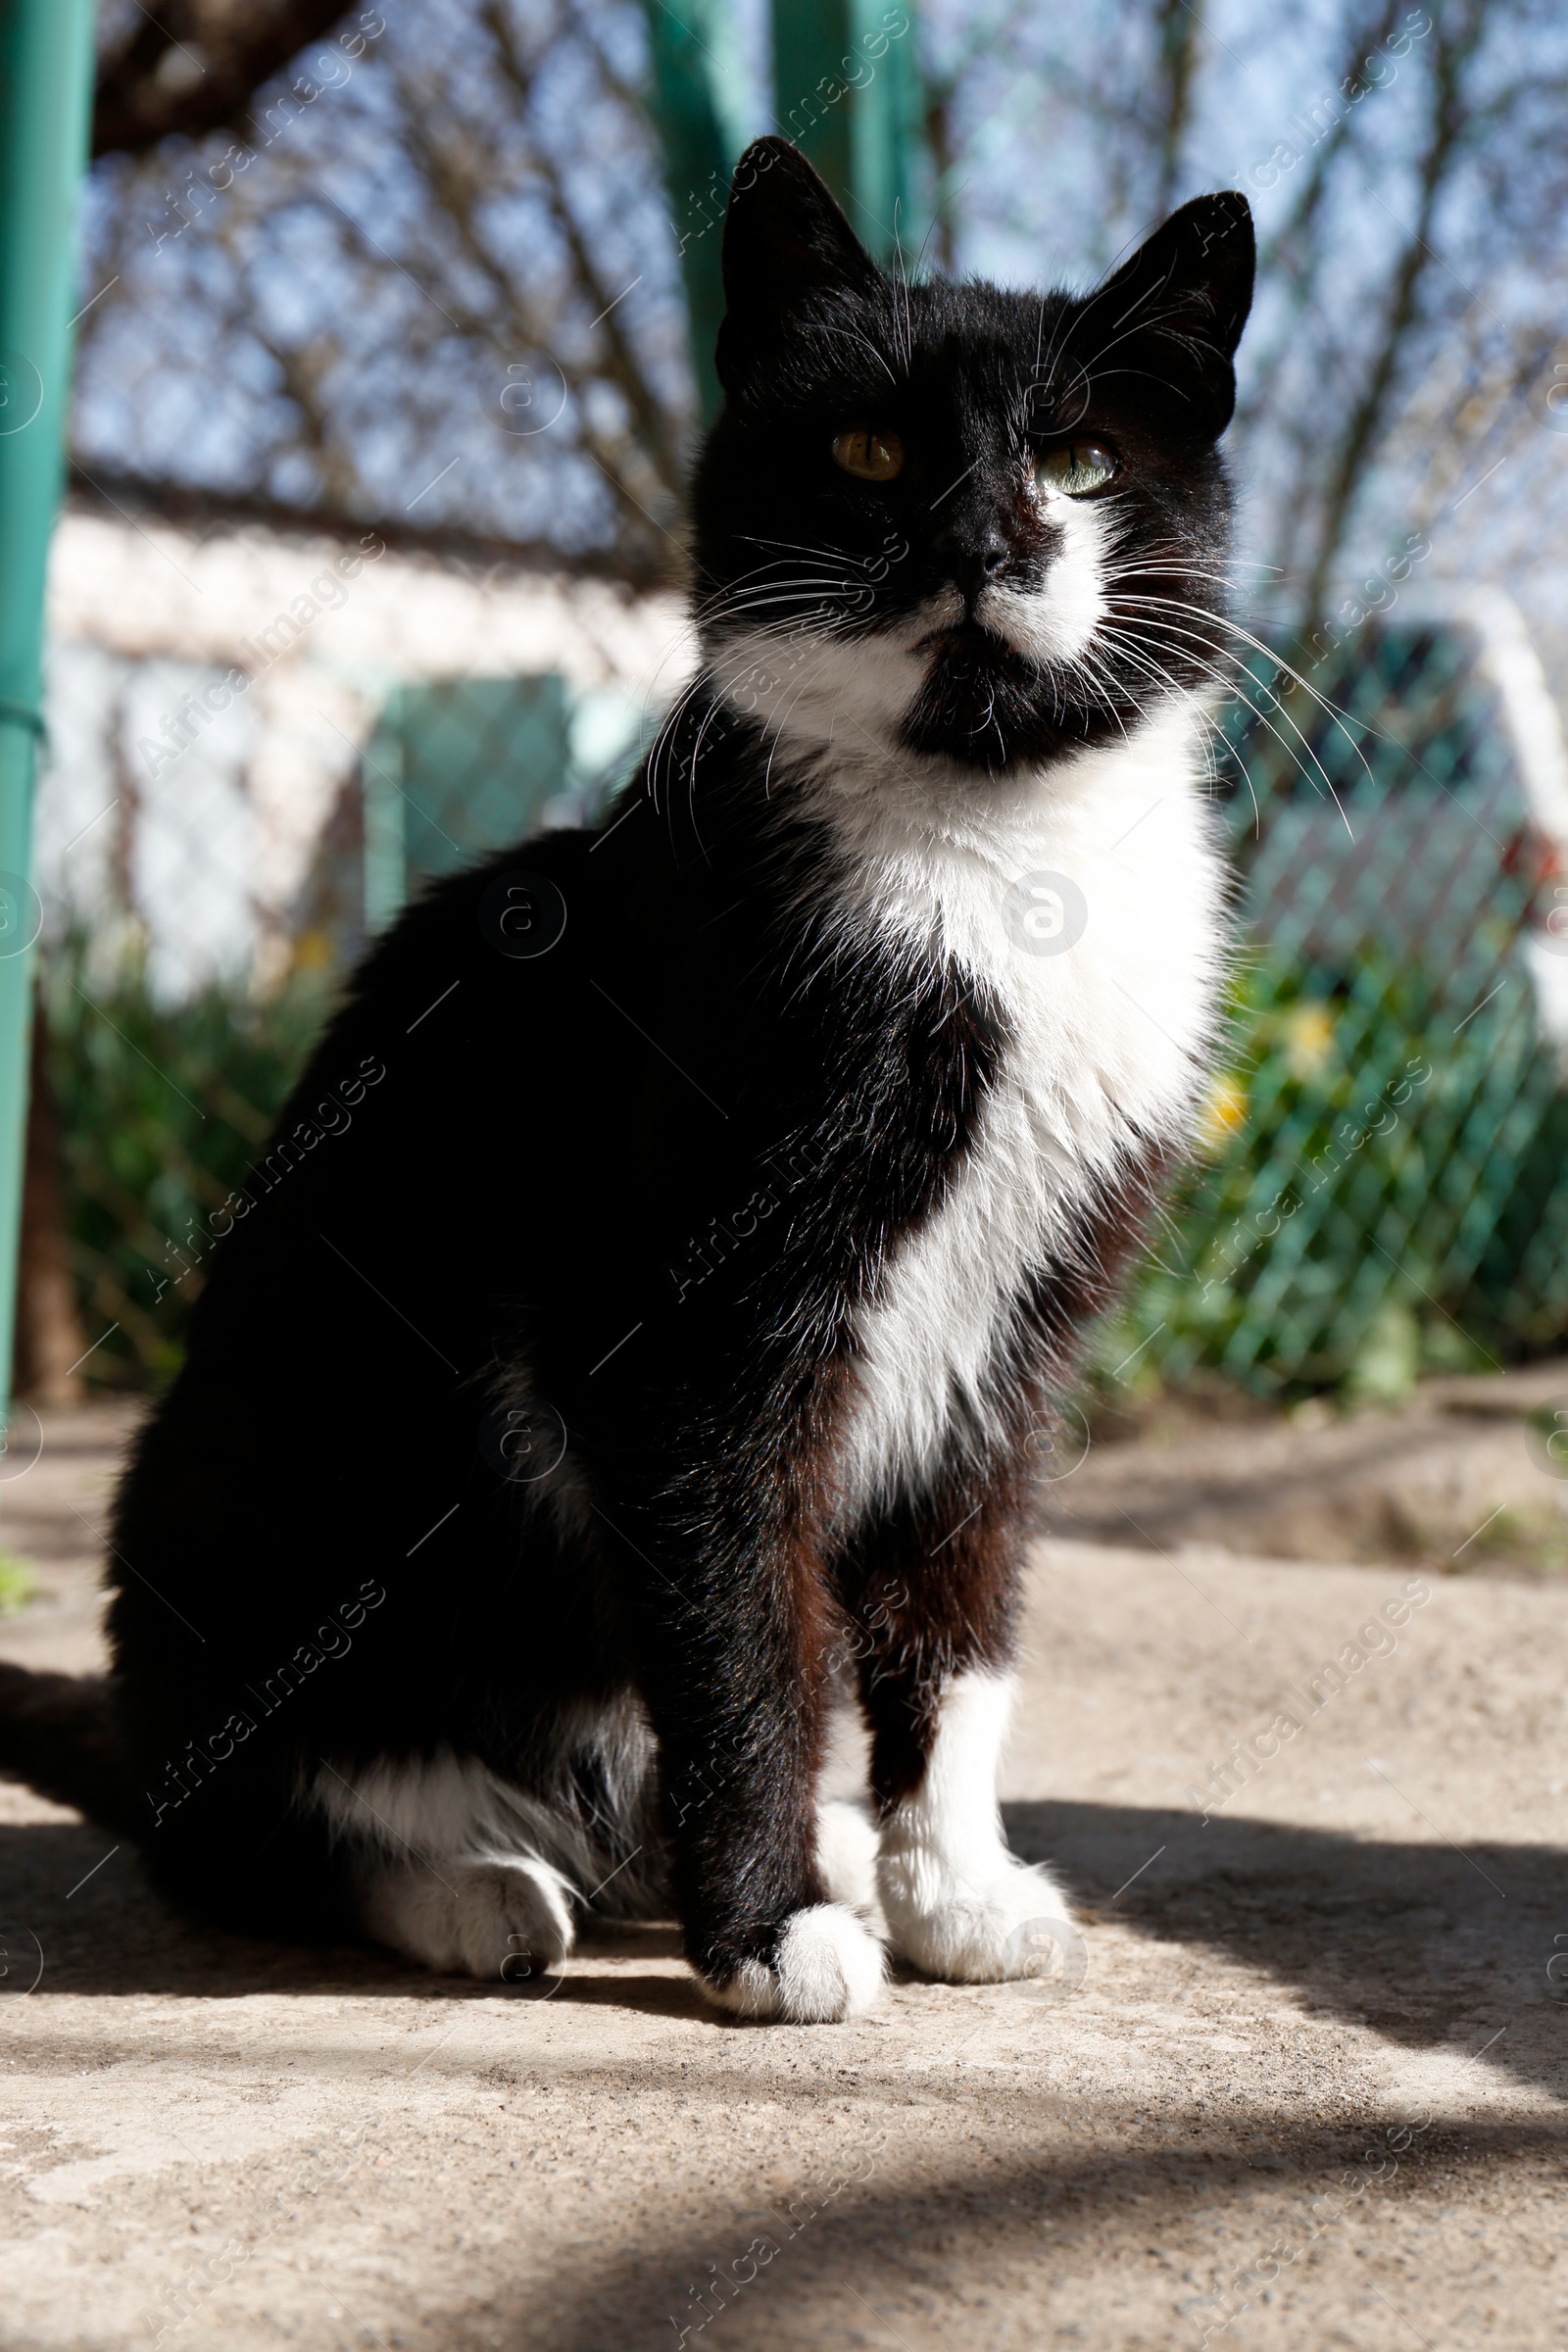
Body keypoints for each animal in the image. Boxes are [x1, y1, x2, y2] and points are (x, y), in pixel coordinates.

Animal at [88, 142, 1250, 2023]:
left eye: (1079, 460)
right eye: (869, 453)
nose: (985, 541)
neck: (996, 850)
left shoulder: (1022, 1329)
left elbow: (962, 1614)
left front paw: (947, 1889)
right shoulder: (683, 1328)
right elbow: (743, 1630)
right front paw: (773, 1934)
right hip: (259, 1489)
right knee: (255, 1821)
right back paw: (474, 1888)